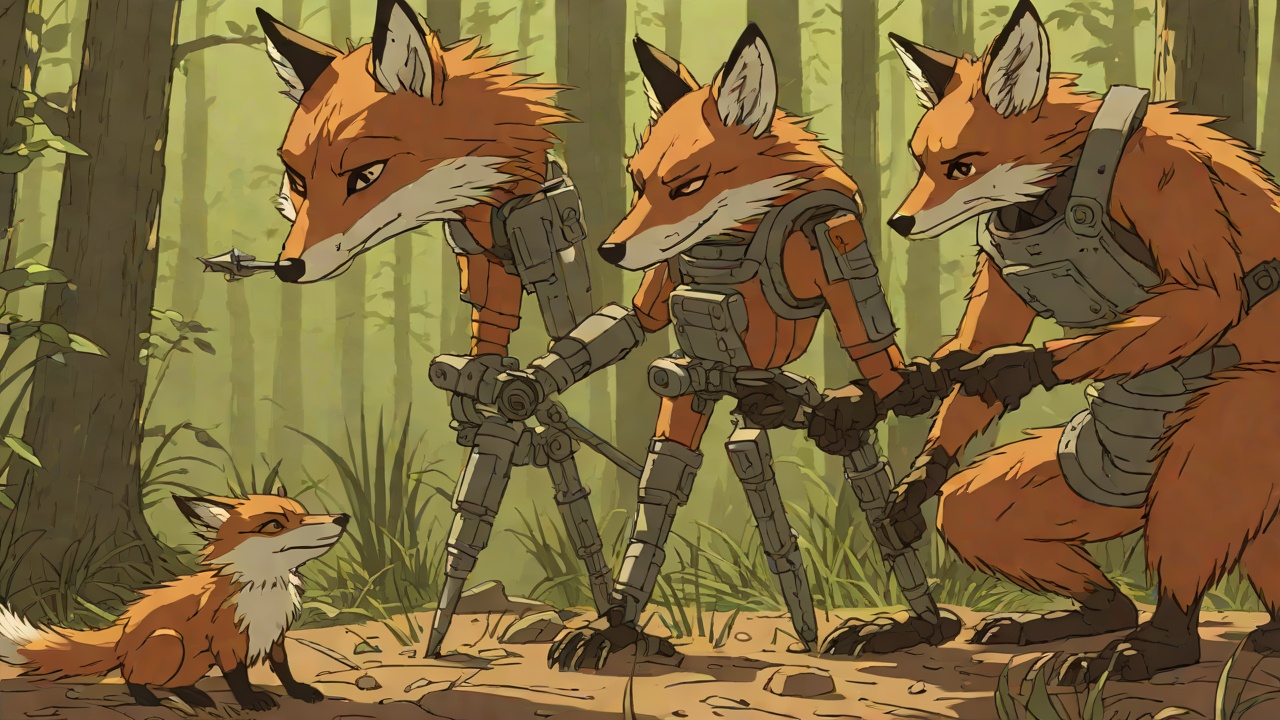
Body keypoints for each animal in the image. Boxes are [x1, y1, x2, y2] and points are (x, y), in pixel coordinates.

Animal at [0, 491, 348, 710]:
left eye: (303, 514)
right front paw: (251, 702)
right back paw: (146, 698)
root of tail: (123, 632)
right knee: (130, 675)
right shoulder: (226, 641)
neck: (264, 589)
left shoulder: (274, 635)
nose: (343, 517)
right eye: (275, 524)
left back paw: (194, 695)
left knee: (172, 682)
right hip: (168, 641)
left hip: (196, 659)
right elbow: (238, 677)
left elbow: (283, 668)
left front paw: (299, 692)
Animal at [880, 0, 1280, 683]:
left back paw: (1151, 649)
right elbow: (975, 347)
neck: (1056, 187)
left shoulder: (1169, 183)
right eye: (921, 162)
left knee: (1194, 511)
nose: (899, 222)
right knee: (980, 518)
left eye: (962, 166)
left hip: (1228, 434)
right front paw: (911, 485)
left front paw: (1014, 369)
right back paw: (1078, 621)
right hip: (1088, 475)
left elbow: (1208, 298)